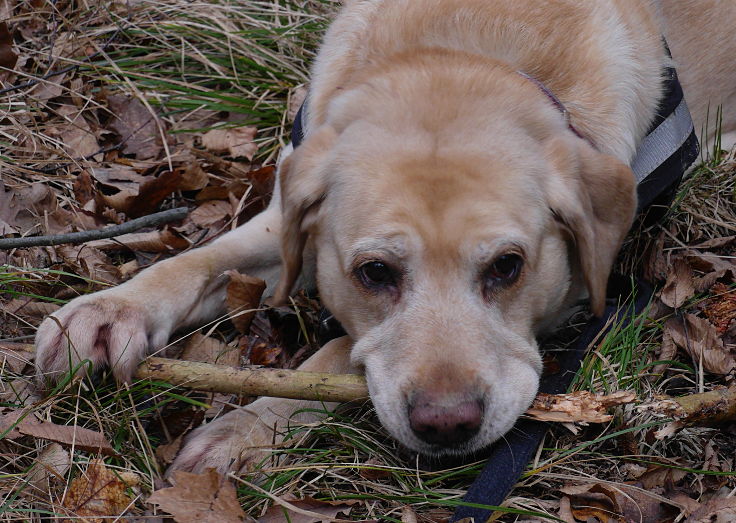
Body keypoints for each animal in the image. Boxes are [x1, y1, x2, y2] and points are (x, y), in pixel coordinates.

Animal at [34, 0, 736, 474]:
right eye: (374, 272)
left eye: (509, 267)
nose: (447, 426)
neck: (463, 52)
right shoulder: (287, 213)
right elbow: (202, 258)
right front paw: (110, 310)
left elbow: (336, 354)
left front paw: (245, 430)